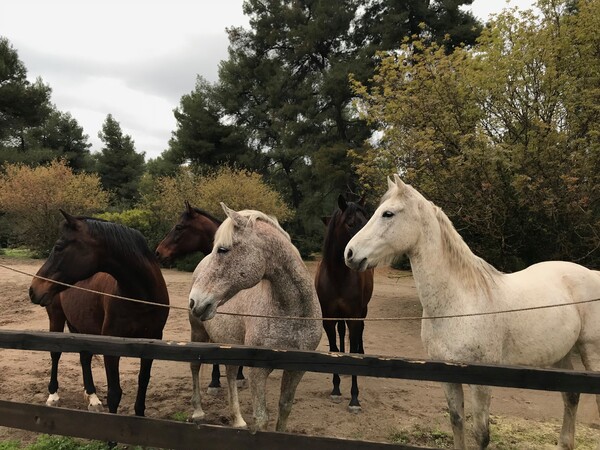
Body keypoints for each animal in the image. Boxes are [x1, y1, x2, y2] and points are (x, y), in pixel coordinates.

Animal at [28, 211, 169, 418]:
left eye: (59, 247)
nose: (34, 289)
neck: (141, 297)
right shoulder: (112, 345)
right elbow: (114, 393)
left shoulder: (153, 341)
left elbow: (143, 381)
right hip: (56, 317)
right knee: (55, 354)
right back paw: (53, 395)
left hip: (79, 325)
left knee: (84, 357)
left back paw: (92, 396)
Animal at [189, 204, 324, 432]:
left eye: (223, 249)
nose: (194, 301)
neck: (293, 313)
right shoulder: (258, 372)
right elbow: (261, 418)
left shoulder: (296, 369)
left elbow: (284, 408)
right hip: (197, 333)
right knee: (195, 366)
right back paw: (198, 411)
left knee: (231, 374)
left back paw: (237, 419)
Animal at [314, 193, 376, 412]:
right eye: (350, 224)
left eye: (367, 222)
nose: (367, 257)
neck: (337, 276)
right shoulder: (329, 318)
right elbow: (333, 348)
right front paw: (335, 388)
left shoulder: (354, 317)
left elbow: (353, 348)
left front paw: (354, 399)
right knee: (341, 334)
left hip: (363, 311)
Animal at [344, 173, 600, 450]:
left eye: (388, 213)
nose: (349, 253)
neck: (459, 305)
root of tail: (591, 274)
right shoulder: (447, 376)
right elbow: (457, 421)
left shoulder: (481, 381)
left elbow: (481, 433)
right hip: (560, 354)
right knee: (571, 395)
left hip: (590, 352)